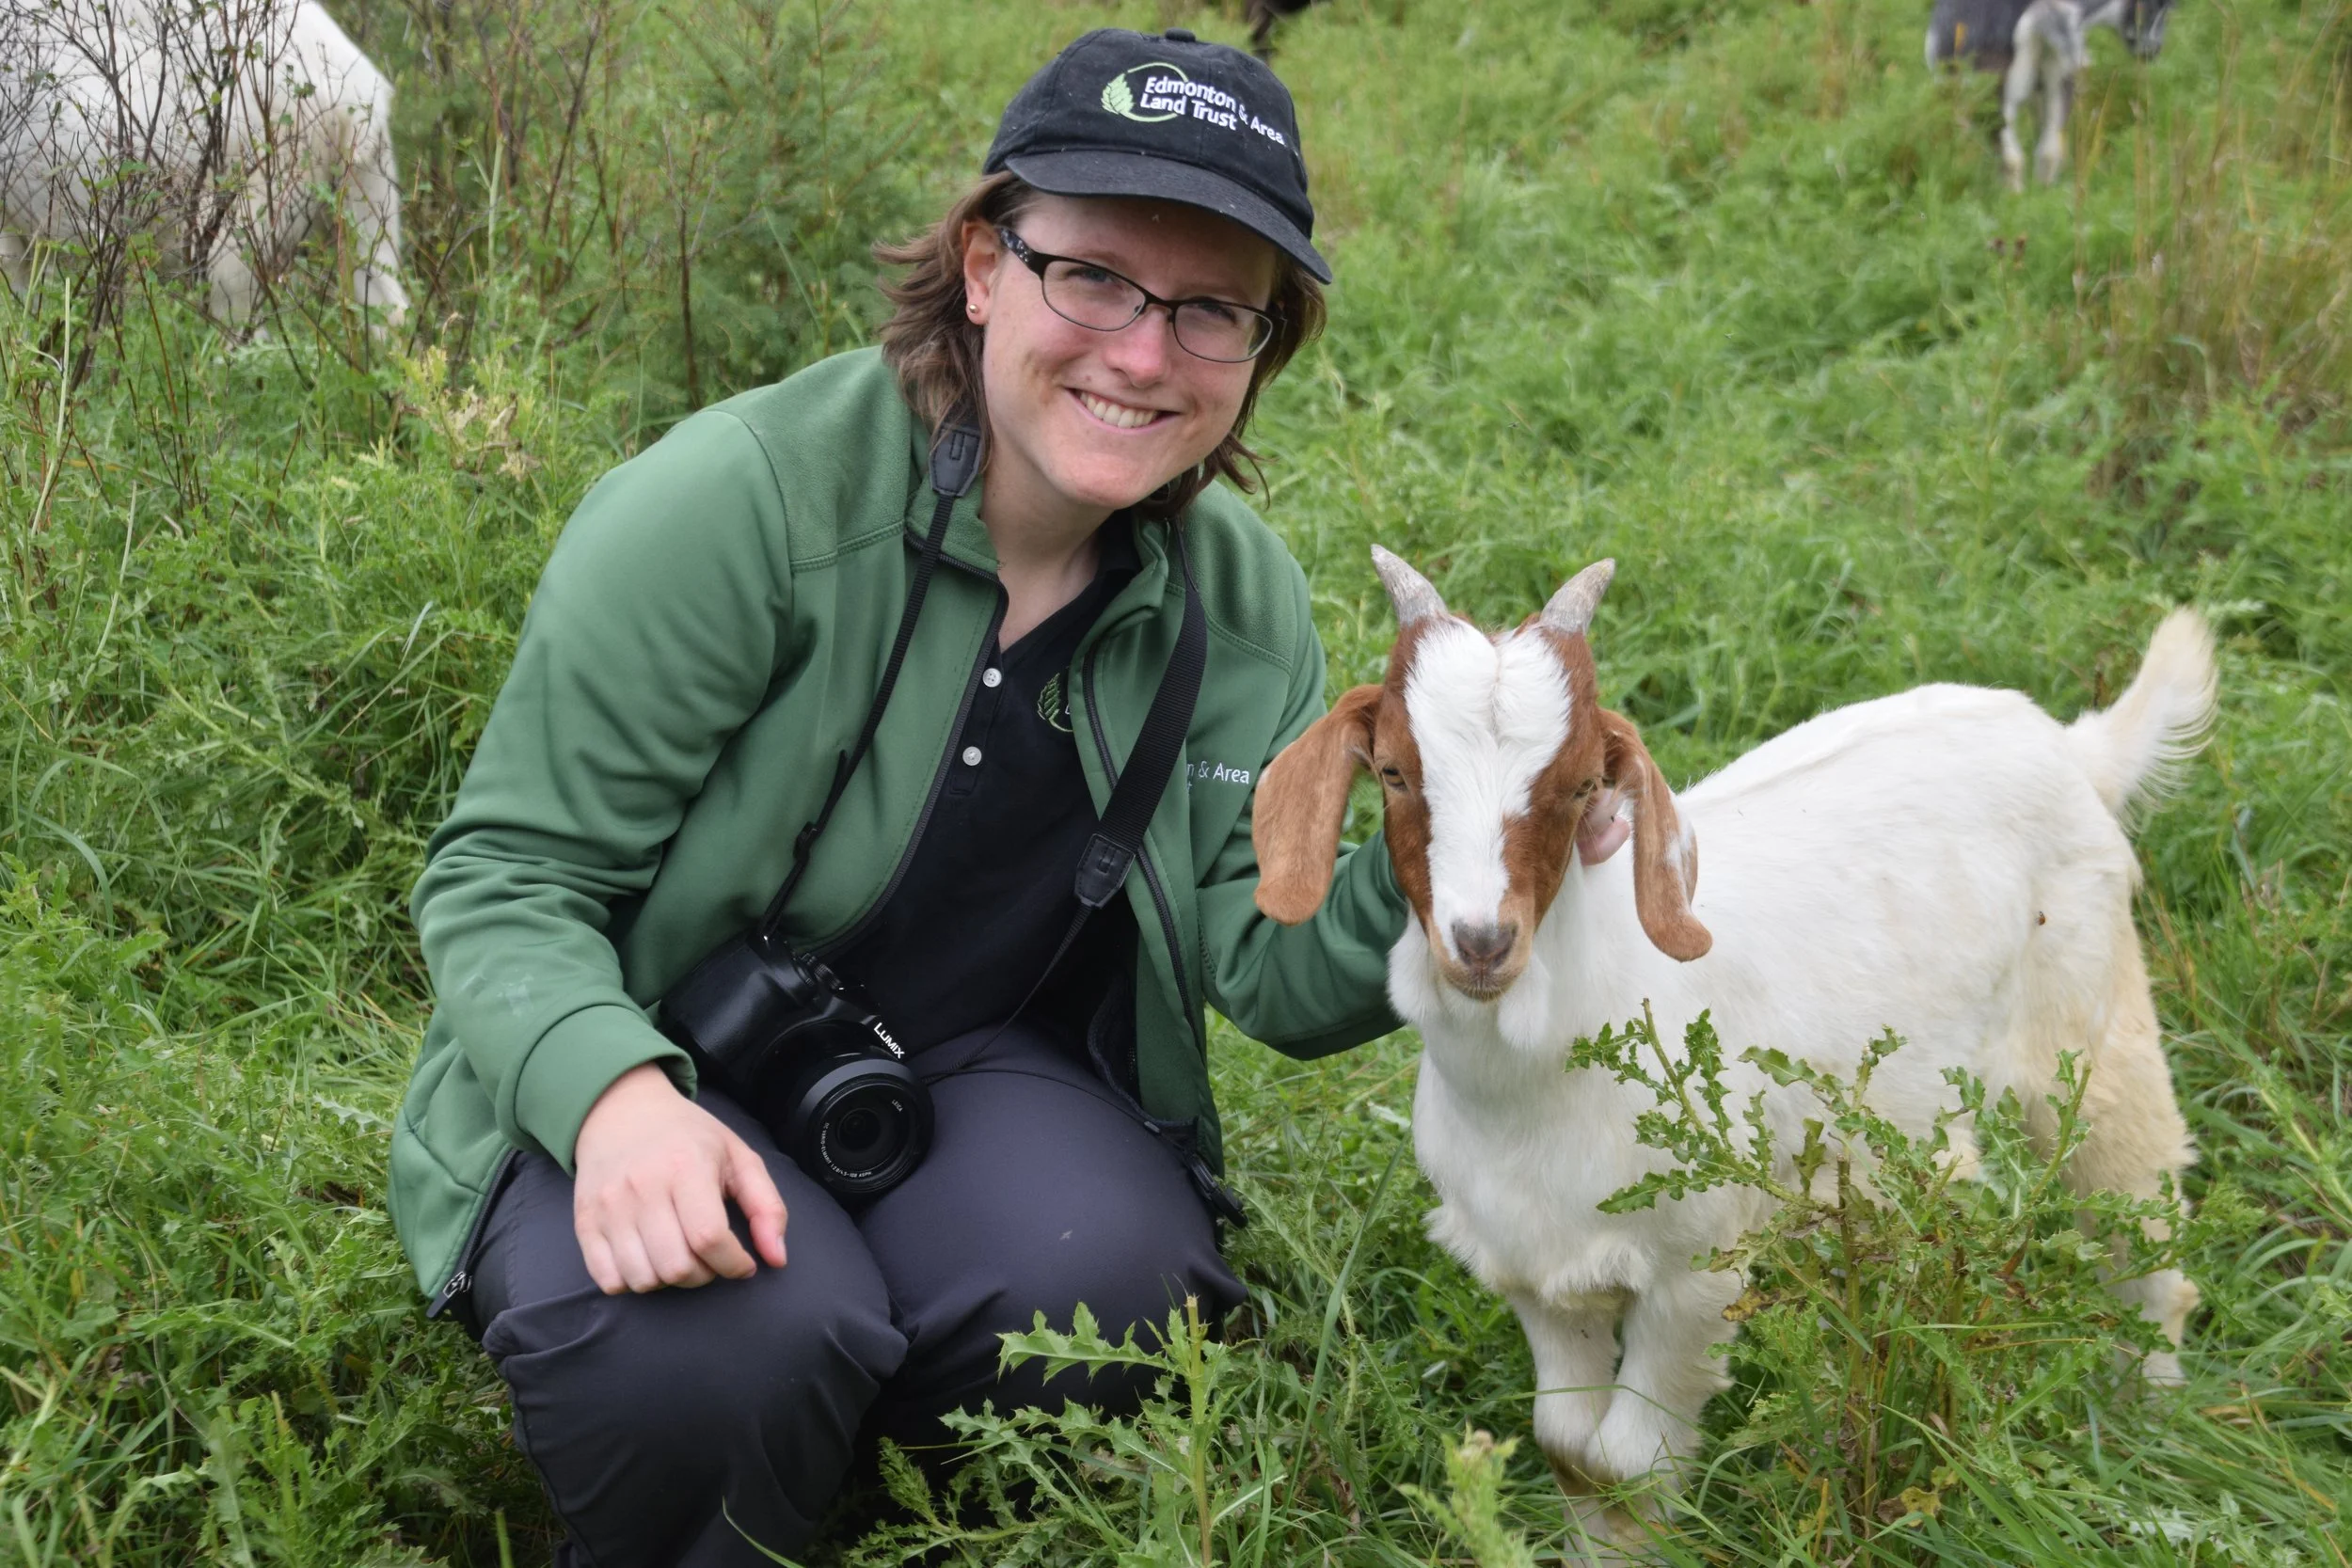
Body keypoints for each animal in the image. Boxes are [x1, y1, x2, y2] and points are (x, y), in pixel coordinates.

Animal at [1254, 550, 2208, 1557]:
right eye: (1395, 773)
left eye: (1581, 786)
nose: (1481, 942)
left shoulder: (1696, 1277)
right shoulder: (1539, 1275)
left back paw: (2140, 1423)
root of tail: (2070, 746)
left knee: (2141, 1217)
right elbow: (1568, 1449)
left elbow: (1628, 1463)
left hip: (2095, 1034)